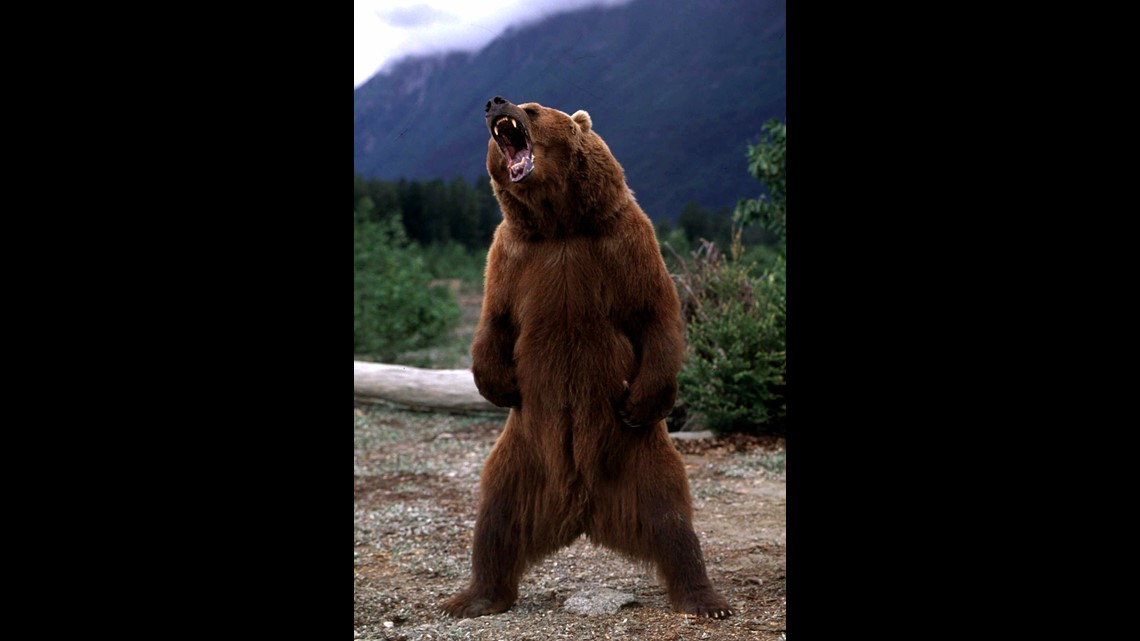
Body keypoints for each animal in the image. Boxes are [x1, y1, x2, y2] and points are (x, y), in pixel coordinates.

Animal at [442, 96, 732, 619]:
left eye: (533, 108)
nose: (495, 102)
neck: (561, 224)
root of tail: (581, 510)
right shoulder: (513, 255)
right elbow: (495, 320)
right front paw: (500, 384)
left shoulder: (624, 242)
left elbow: (655, 311)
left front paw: (642, 399)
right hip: (521, 458)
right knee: (495, 517)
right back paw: (472, 597)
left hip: (640, 457)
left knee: (672, 518)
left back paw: (704, 598)